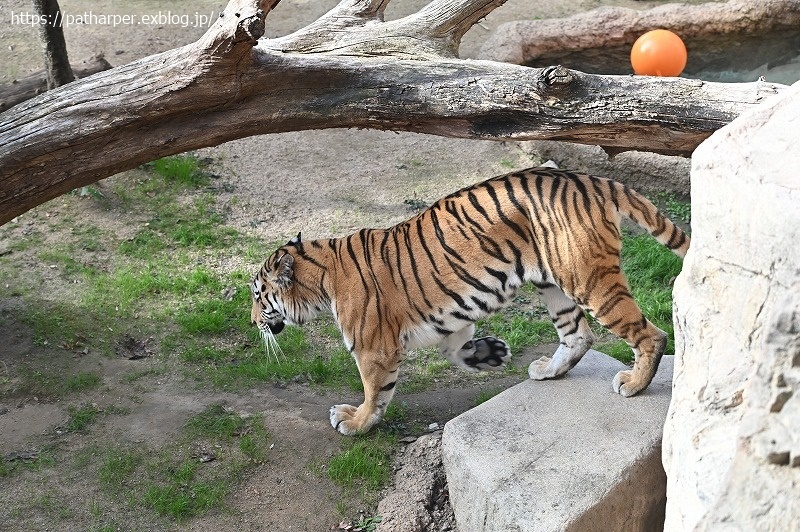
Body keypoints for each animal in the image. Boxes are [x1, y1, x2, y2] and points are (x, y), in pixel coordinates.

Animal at [250, 167, 688, 436]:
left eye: (257, 295)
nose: (253, 321)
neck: (322, 274)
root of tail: (592, 179)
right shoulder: (452, 314)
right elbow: (454, 349)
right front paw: (490, 354)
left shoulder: (374, 347)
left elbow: (375, 392)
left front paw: (354, 423)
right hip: (553, 284)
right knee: (578, 335)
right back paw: (548, 371)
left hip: (587, 279)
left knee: (651, 335)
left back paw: (633, 384)